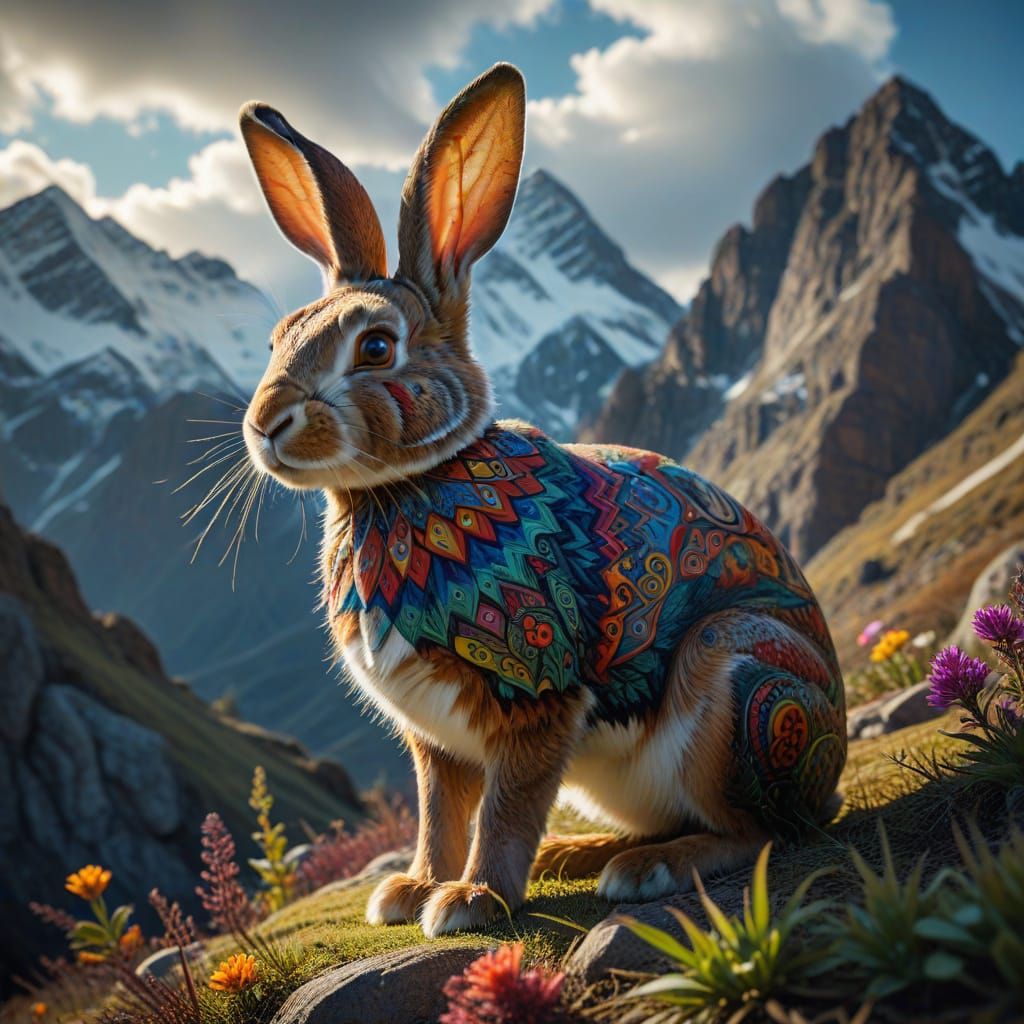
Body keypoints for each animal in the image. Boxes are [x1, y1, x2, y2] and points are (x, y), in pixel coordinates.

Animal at [237, 62, 847, 938]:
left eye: (376, 346)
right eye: (279, 337)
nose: (265, 425)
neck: (407, 490)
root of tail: (832, 765)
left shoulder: (535, 702)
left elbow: (505, 810)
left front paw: (470, 901)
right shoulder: (436, 741)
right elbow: (439, 814)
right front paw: (411, 891)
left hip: (741, 682)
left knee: (758, 830)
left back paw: (648, 868)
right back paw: (577, 854)